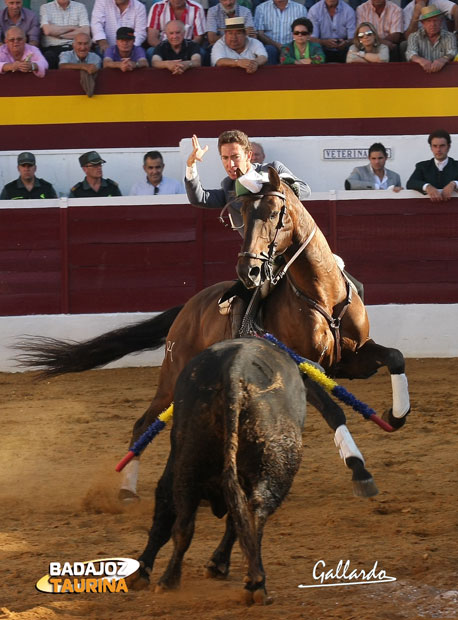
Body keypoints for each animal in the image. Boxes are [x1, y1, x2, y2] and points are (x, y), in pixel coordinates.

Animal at [18, 165, 412, 498]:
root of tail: (186, 310)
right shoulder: (303, 369)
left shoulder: (351, 359)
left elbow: (395, 357)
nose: (248, 271)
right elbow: (335, 411)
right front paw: (360, 471)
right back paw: (129, 489)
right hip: (172, 378)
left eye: (274, 213)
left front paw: (396, 415)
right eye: (242, 214)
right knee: (143, 424)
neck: (322, 295)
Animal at [128, 340, 372, 604]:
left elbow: (175, 517)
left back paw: (172, 580)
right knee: (252, 512)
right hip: (272, 464)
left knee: (187, 522)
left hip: (189, 463)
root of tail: (234, 371)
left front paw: (144, 570)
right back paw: (254, 582)